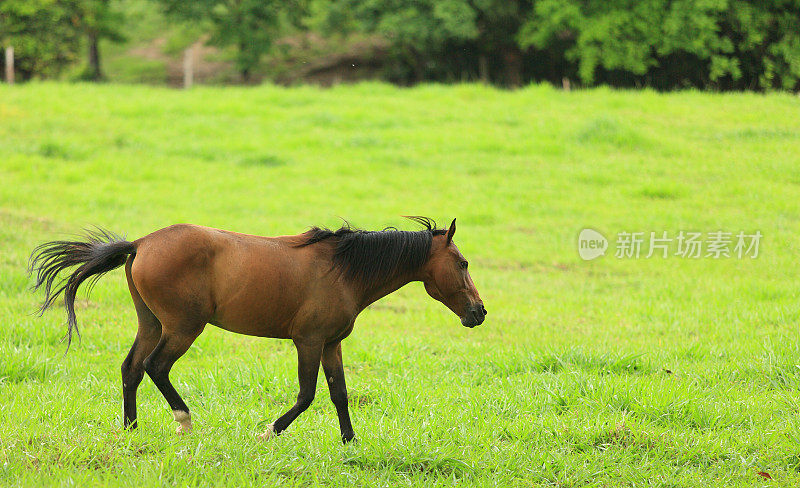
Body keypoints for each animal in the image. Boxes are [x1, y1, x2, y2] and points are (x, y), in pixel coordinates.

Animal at [28, 217, 484, 442]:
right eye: (462, 263)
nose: (478, 313)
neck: (343, 270)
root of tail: (140, 244)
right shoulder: (309, 341)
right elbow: (307, 395)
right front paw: (268, 432)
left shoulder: (332, 343)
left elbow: (339, 393)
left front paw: (350, 442)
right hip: (182, 327)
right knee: (156, 367)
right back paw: (184, 421)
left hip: (151, 323)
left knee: (131, 369)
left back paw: (131, 429)